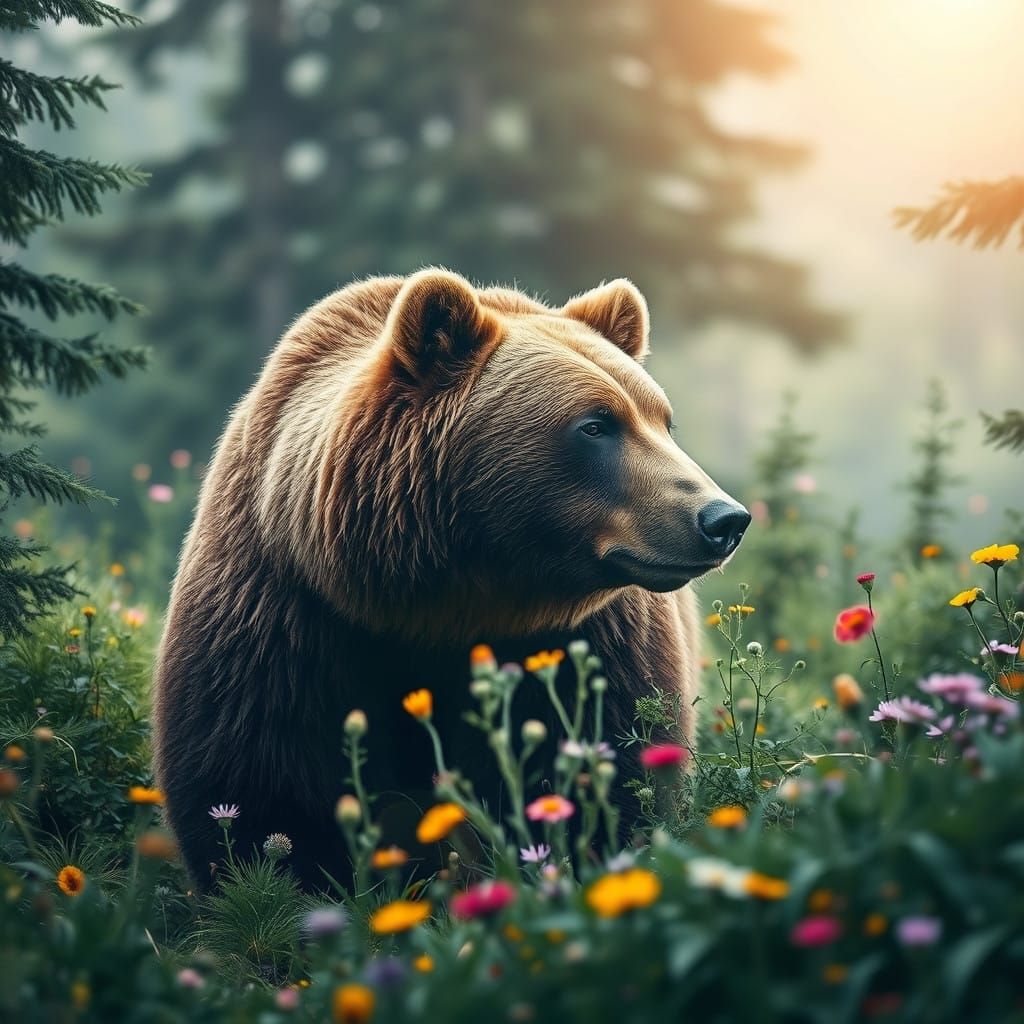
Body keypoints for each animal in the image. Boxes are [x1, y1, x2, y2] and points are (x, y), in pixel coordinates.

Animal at [152, 269, 750, 892]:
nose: (722, 519)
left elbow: (603, 768)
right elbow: (262, 789)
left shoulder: (588, 640)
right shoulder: (285, 616)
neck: (441, 602)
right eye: (595, 425)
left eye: (662, 419)